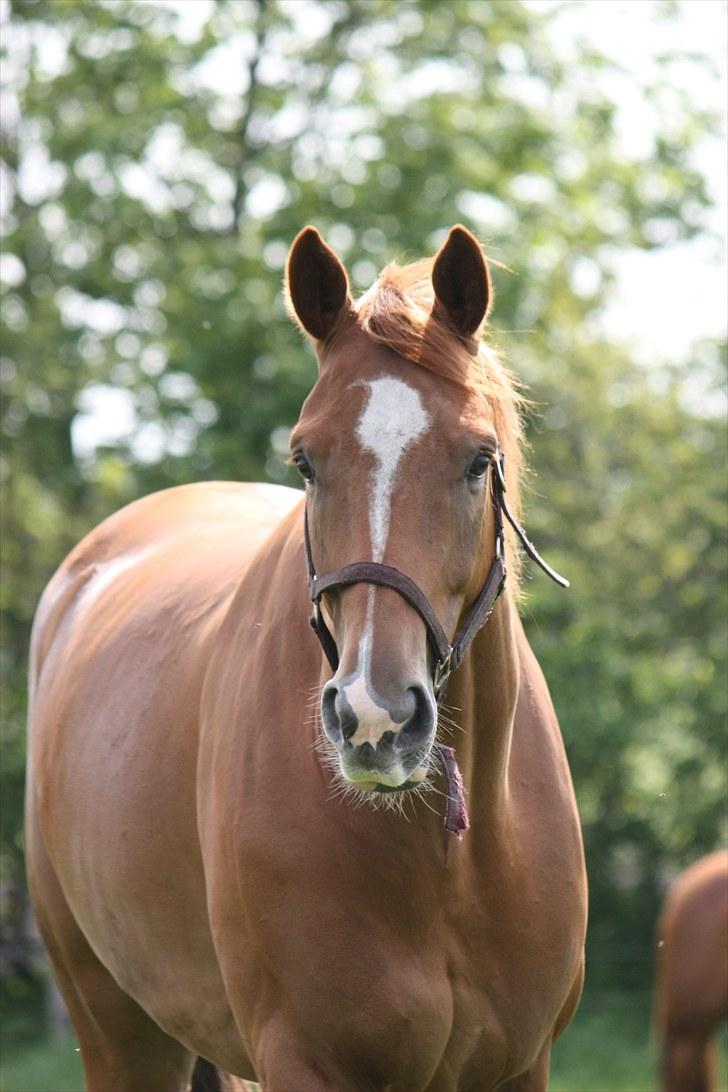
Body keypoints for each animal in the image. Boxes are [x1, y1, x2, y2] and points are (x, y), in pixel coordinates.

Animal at [25, 226, 589, 1087]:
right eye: (305, 461)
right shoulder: (303, 1060)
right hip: (117, 1030)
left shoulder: (520, 1067)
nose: (374, 717)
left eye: (477, 459)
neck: (447, 856)